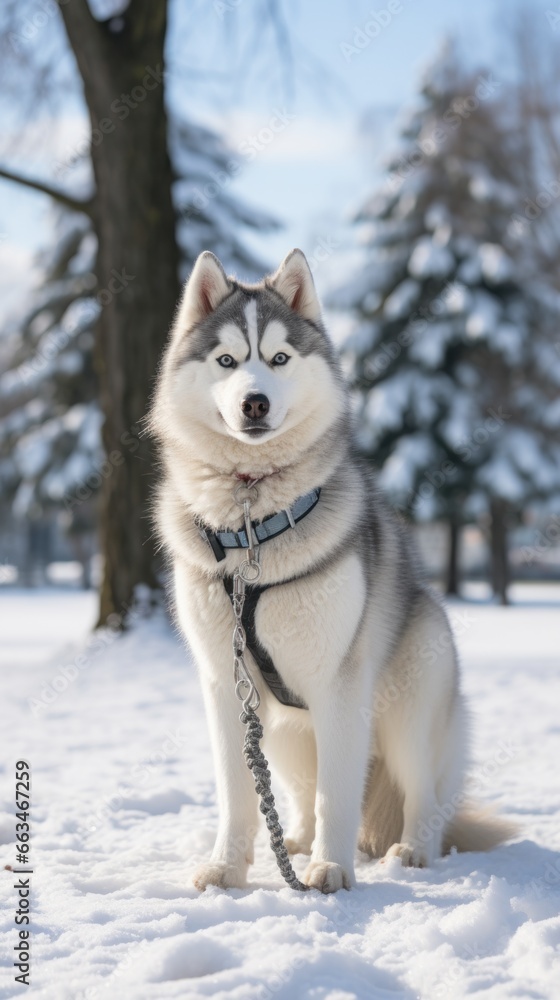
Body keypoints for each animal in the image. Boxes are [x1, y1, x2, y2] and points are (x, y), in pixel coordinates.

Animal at [150, 248, 516, 892]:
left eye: (279, 358)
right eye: (226, 360)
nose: (254, 402)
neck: (252, 523)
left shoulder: (340, 686)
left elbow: (337, 797)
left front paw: (331, 868)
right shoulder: (225, 685)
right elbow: (238, 794)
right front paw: (228, 866)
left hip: (408, 711)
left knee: (422, 793)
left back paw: (411, 850)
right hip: (286, 732)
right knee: (298, 788)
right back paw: (292, 841)